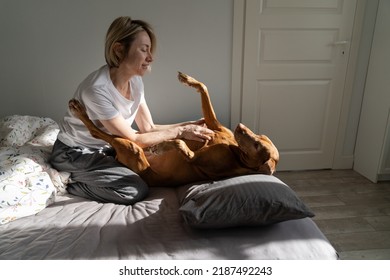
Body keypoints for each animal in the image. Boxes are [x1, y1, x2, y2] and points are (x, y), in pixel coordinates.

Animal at [68, 71, 278, 186]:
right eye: (259, 135)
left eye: (258, 146)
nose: (240, 126)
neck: (235, 150)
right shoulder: (213, 125)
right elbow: (204, 89)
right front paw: (188, 80)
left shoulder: (194, 159)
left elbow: (178, 143)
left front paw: (161, 147)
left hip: (131, 148)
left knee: (99, 132)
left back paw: (79, 112)